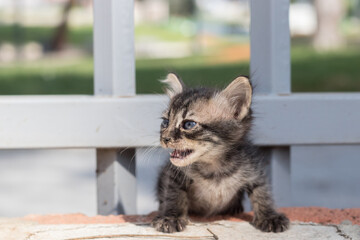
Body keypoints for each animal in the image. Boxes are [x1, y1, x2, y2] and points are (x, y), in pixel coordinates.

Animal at [152, 73, 290, 232]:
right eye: (165, 122)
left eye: (188, 124)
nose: (165, 138)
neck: (214, 168)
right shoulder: (174, 174)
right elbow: (173, 195)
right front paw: (171, 217)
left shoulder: (254, 169)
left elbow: (262, 192)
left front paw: (270, 216)